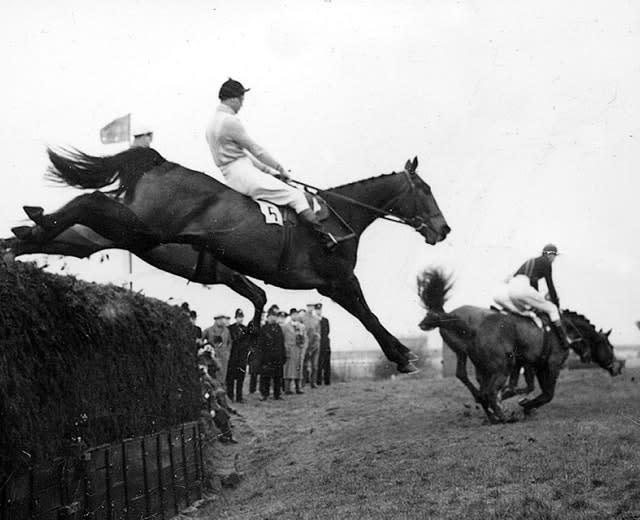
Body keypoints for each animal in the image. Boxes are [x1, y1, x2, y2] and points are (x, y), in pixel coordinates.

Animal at [11, 148, 450, 372]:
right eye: (426, 190)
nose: (443, 229)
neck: (339, 217)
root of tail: (160, 161)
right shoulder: (338, 280)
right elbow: (369, 316)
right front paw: (403, 355)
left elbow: (259, 297)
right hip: (144, 230)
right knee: (90, 200)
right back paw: (33, 224)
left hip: (124, 232)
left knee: (74, 231)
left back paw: (26, 233)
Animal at [418, 268, 624, 422]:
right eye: (610, 346)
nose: (616, 368)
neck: (566, 330)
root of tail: (448, 316)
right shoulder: (550, 365)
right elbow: (547, 393)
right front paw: (526, 405)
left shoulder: (532, 363)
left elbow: (527, 386)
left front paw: (520, 402)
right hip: (500, 365)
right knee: (488, 391)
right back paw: (503, 417)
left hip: (475, 359)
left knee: (473, 382)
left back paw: (493, 414)